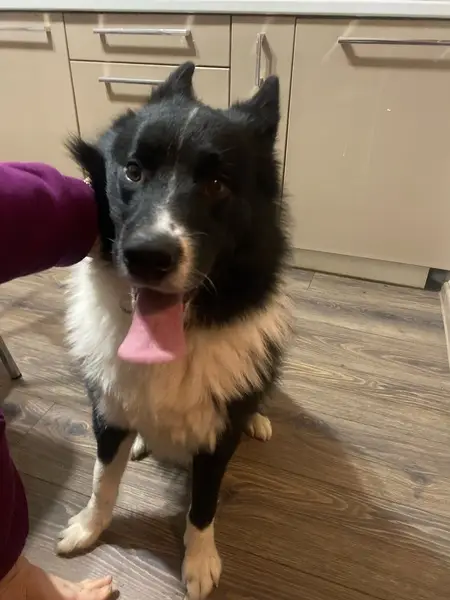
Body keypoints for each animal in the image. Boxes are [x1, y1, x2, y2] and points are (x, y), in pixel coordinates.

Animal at [57, 62, 291, 600]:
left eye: (217, 183)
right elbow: (102, 480)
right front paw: (88, 527)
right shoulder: (106, 412)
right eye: (132, 171)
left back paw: (257, 420)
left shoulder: (215, 439)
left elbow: (203, 506)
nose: (147, 256)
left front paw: (200, 562)